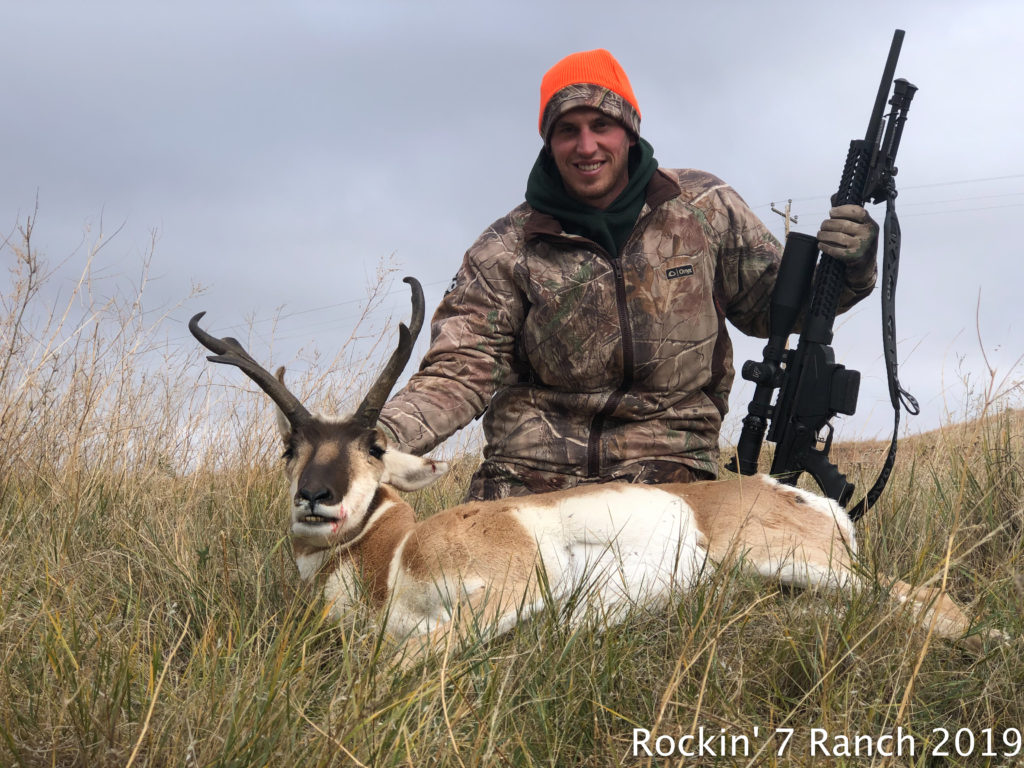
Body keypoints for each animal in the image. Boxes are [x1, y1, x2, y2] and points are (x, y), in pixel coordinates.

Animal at [190, 280, 999, 663]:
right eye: (289, 449)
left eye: (372, 448)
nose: (316, 499)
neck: (392, 558)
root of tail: (794, 495)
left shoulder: (513, 589)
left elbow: (404, 658)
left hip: (801, 566)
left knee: (931, 602)